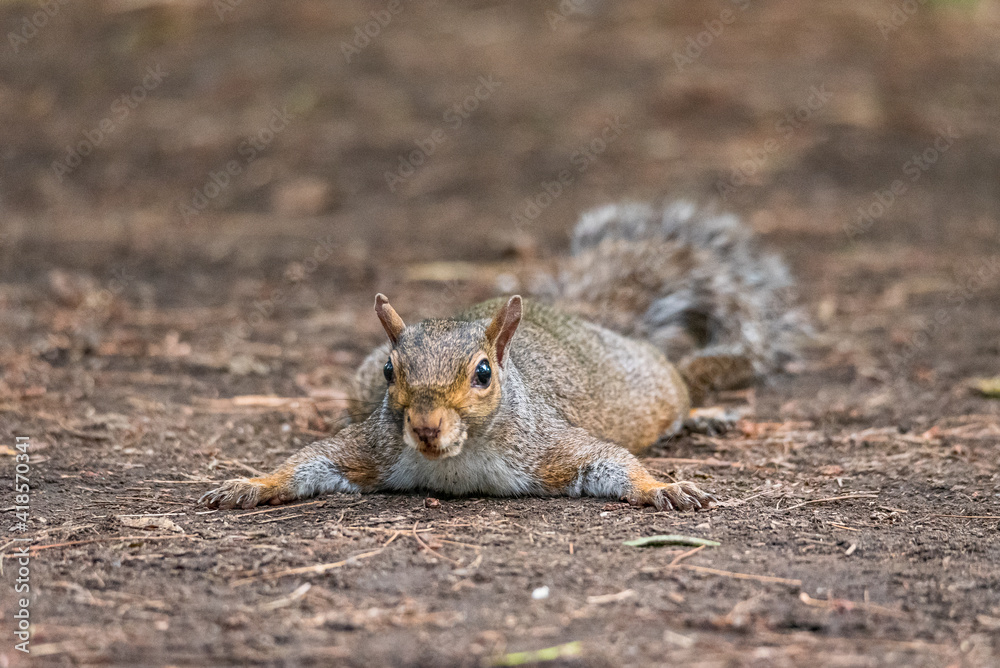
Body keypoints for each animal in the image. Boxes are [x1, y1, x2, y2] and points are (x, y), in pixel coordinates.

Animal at [201, 201, 808, 511]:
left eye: (483, 373)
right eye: (391, 371)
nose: (425, 428)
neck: (455, 459)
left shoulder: (548, 448)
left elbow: (610, 461)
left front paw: (663, 487)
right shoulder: (371, 446)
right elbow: (310, 461)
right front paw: (251, 484)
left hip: (649, 389)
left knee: (682, 391)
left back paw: (707, 414)